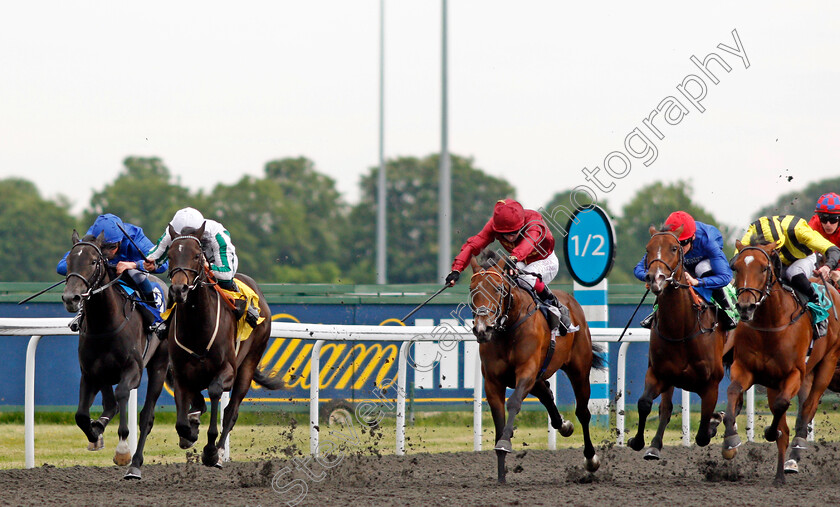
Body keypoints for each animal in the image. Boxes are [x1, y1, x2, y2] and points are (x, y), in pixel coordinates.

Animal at [60, 231, 169, 480]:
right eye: (69, 261)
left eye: (93, 261)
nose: (71, 298)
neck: (105, 323)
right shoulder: (90, 372)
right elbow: (81, 415)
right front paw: (94, 433)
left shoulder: (133, 370)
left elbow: (122, 395)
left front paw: (122, 450)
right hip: (105, 373)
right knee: (110, 404)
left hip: (159, 365)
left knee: (146, 416)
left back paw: (135, 465)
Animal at [466, 254, 604, 484]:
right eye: (472, 289)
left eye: (498, 288)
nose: (482, 329)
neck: (508, 329)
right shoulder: (493, 382)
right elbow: (499, 419)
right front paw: (501, 474)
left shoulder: (527, 371)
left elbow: (513, 403)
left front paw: (505, 443)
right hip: (540, 375)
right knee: (547, 394)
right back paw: (564, 425)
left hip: (578, 370)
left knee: (583, 412)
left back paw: (591, 459)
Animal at [628, 228, 724, 462]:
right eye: (647, 249)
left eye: (673, 248)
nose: (655, 278)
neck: (681, 330)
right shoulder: (659, 373)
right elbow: (645, 403)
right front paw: (638, 441)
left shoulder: (711, 384)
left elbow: (703, 434)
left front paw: (714, 421)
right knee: (666, 407)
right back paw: (654, 446)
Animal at [720, 240, 840, 486]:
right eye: (736, 267)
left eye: (764, 268)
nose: (745, 307)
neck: (771, 323)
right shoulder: (745, 369)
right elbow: (733, 391)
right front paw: (730, 439)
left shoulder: (794, 373)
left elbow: (782, 406)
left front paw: (769, 432)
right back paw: (780, 474)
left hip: (827, 364)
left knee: (809, 404)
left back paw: (798, 444)